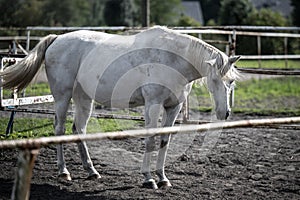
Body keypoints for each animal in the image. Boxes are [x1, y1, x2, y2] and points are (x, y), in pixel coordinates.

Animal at [0, 26, 239, 189]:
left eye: (231, 82)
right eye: (215, 80)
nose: (224, 113)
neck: (171, 59)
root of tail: (57, 39)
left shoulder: (173, 107)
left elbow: (164, 140)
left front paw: (163, 178)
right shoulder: (153, 105)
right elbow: (150, 140)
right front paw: (148, 179)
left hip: (84, 99)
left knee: (79, 130)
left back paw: (92, 171)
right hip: (62, 96)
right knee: (59, 130)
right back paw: (64, 172)